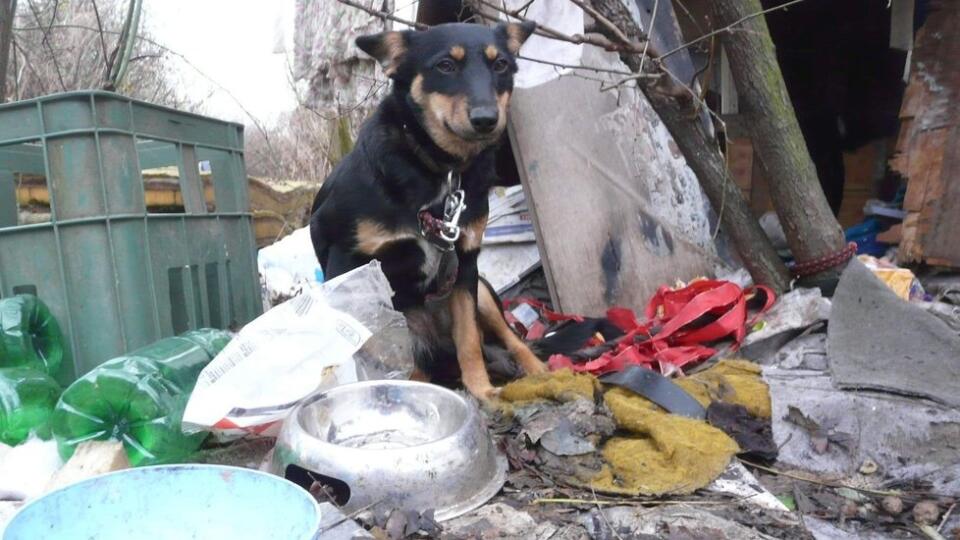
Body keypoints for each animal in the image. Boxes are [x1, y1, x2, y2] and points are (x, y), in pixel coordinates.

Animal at [312, 22, 544, 400]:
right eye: (445, 66)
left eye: (501, 65)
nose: (486, 120)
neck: (440, 168)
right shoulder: (345, 261)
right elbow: (364, 349)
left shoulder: (466, 264)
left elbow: (468, 339)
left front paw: (481, 390)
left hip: (483, 292)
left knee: (508, 336)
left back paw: (539, 370)